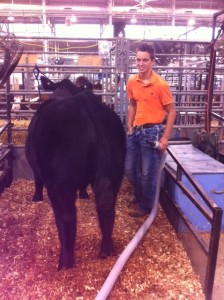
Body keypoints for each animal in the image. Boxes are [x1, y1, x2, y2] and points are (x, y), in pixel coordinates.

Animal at [25, 75, 126, 270]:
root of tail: (85, 101)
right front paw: (84, 194)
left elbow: (37, 180)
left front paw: (36, 197)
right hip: (116, 171)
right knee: (107, 206)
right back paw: (107, 248)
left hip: (60, 183)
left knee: (66, 216)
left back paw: (65, 261)